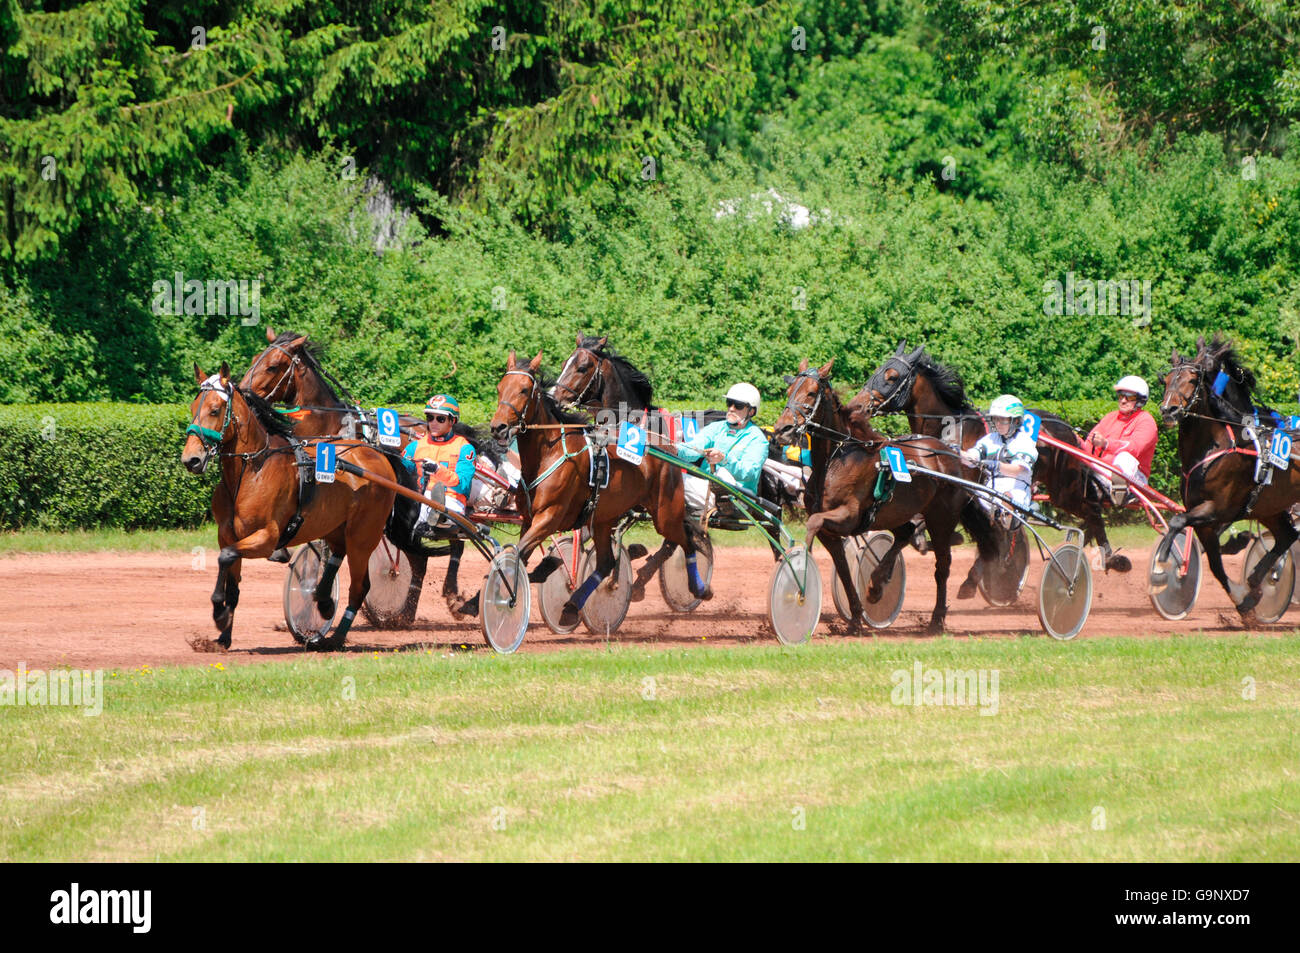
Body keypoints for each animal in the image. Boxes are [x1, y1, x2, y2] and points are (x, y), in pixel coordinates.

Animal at [179, 361, 395, 647]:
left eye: (215, 410)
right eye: (193, 409)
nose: (191, 459)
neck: (251, 471)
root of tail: (378, 456)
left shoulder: (266, 538)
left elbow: (225, 558)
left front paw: (218, 612)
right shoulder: (228, 535)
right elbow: (232, 581)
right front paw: (224, 634)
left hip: (363, 536)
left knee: (360, 586)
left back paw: (335, 638)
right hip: (336, 527)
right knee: (337, 554)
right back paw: (323, 601)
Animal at [488, 348, 712, 624]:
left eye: (523, 390)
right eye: (500, 388)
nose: (498, 427)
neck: (548, 453)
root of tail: (666, 447)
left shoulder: (549, 518)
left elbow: (518, 552)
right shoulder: (530, 520)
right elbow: (521, 552)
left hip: (665, 514)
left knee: (687, 539)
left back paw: (699, 588)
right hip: (605, 518)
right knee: (606, 563)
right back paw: (572, 606)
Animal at [774, 356, 998, 631]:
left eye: (811, 392)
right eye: (789, 391)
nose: (782, 429)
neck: (837, 457)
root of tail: (951, 455)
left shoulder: (849, 516)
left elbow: (814, 523)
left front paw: (801, 572)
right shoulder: (833, 531)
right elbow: (844, 570)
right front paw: (856, 618)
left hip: (941, 517)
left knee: (942, 565)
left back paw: (936, 618)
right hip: (896, 513)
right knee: (905, 533)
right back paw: (876, 584)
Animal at [852, 338, 1128, 587]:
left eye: (892, 376)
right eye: (877, 370)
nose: (856, 406)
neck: (949, 428)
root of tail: (1068, 429)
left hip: (1064, 489)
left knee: (1092, 510)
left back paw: (1110, 558)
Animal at [1159, 338, 1300, 621]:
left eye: (1192, 379)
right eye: (1167, 379)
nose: (1169, 409)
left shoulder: (1217, 510)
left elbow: (1177, 522)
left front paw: (1163, 561)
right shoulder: (1204, 519)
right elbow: (1214, 564)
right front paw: (1244, 600)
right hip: (1270, 506)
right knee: (1287, 535)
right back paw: (1256, 579)